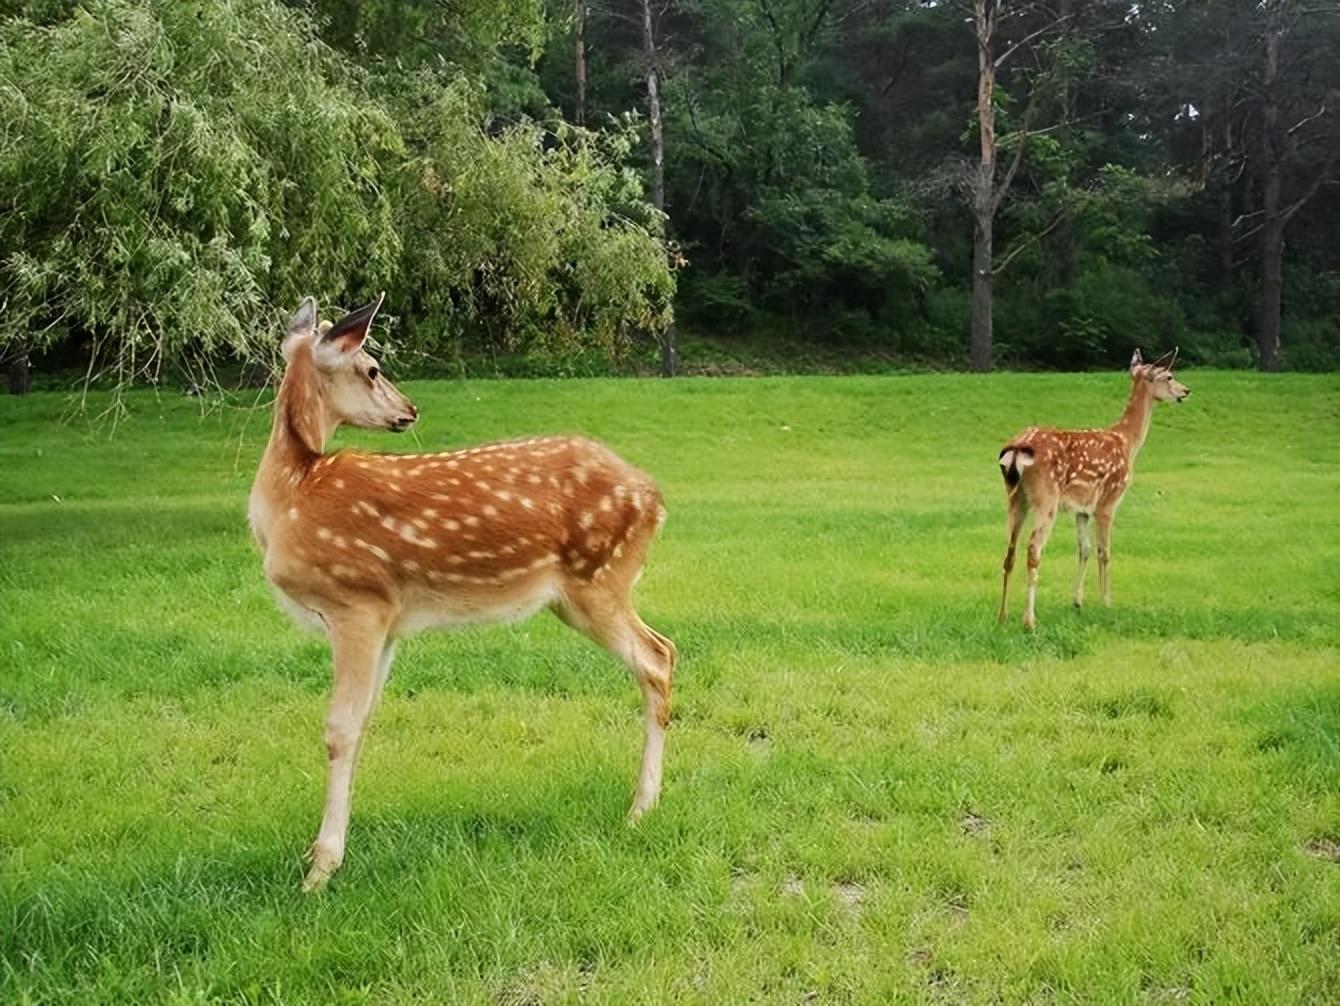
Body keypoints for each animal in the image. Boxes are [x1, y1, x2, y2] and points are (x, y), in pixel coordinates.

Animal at [249, 294, 680, 894]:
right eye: (373, 369)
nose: (409, 410)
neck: (290, 496)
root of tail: (655, 497)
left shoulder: (356, 601)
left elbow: (338, 728)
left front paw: (320, 868)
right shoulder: (389, 620)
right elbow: (363, 721)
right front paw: (326, 851)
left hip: (599, 578)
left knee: (657, 656)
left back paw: (640, 807)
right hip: (580, 593)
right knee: (661, 651)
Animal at [996, 348, 1195, 629]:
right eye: (1168, 376)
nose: (1186, 391)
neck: (1127, 443)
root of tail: (1016, 450)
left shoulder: (1082, 508)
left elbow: (1084, 549)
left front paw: (1077, 602)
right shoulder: (1108, 500)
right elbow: (1104, 551)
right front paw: (1106, 602)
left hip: (1015, 496)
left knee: (1009, 550)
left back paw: (1002, 616)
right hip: (1046, 497)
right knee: (1033, 548)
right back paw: (1029, 621)